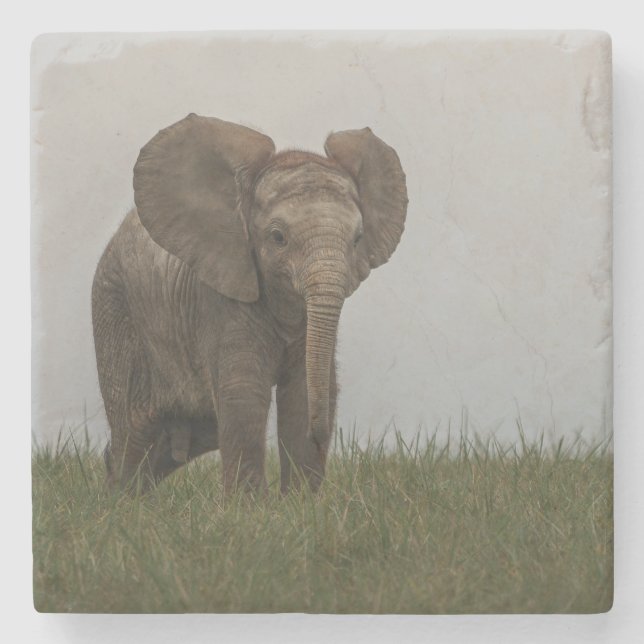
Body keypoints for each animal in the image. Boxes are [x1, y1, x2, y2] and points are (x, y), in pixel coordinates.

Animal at [92, 113, 407, 494]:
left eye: (358, 239)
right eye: (277, 237)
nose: (320, 437)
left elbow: (302, 393)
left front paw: (302, 503)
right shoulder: (219, 296)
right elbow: (243, 392)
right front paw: (249, 508)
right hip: (114, 307)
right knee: (134, 430)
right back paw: (124, 501)